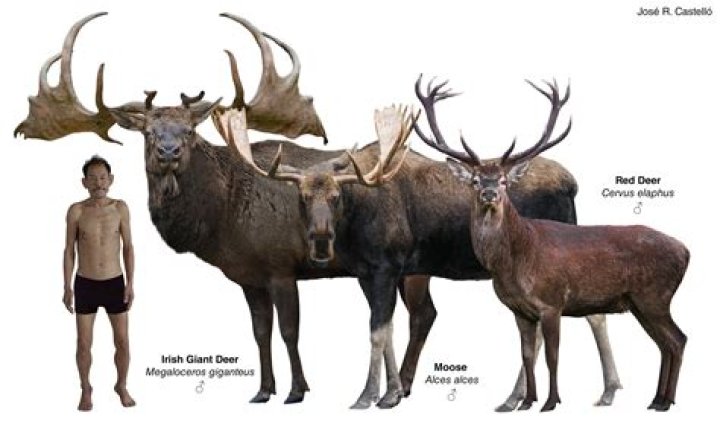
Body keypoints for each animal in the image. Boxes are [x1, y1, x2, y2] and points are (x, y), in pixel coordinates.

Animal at [215, 76, 626, 409]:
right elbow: (387, 329)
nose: (319, 241)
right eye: (300, 197)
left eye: (335, 197)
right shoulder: (368, 272)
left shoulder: (385, 266)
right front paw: (392, 392)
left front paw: (369, 395)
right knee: (584, 314)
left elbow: (378, 331)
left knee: (565, 320)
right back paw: (584, 391)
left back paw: (544, 395)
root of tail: (573, 183)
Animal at [417, 78, 689, 412]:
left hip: (655, 296)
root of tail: (686, 251)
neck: (515, 262)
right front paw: (525, 402)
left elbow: (552, 355)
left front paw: (550, 402)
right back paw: (657, 400)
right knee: (666, 343)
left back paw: (664, 401)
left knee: (677, 339)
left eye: (504, 180)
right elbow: (526, 354)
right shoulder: (520, 310)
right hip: (642, 303)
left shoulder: (553, 302)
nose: (490, 194)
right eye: (476, 180)